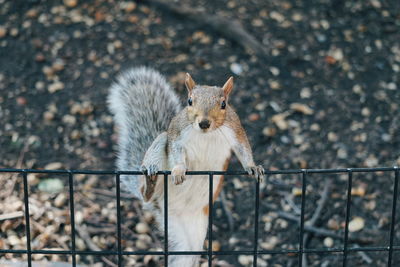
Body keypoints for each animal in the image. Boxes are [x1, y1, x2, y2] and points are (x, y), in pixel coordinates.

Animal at [108, 67, 264, 267]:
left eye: (223, 104)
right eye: (189, 101)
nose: (204, 123)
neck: (206, 134)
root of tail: (163, 206)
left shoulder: (235, 129)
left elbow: (243, 149)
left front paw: (253, 167)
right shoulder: (177, 134)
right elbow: (176, 150)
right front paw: (179, 170)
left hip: (191, 237)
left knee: (185, 254)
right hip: (160, 145)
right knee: (145, 192)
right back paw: (150, 181)